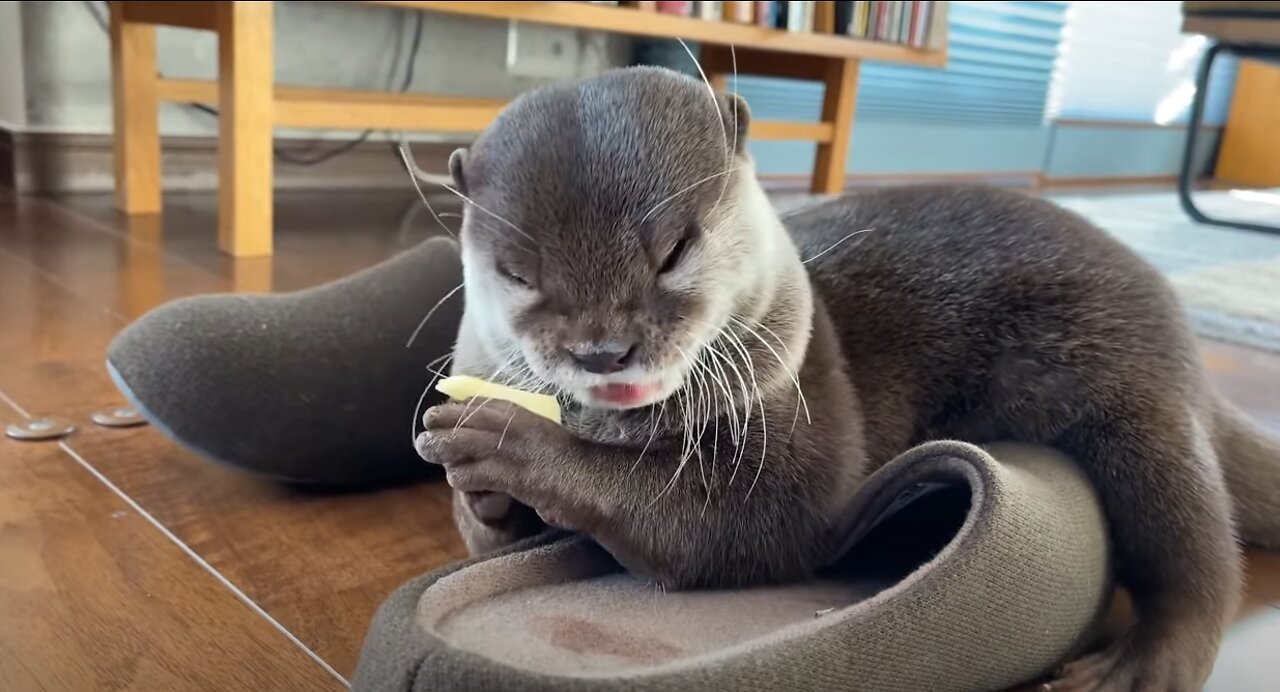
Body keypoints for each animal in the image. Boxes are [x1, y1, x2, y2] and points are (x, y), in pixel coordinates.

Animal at [414, 66, 1280, 690]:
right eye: (518, 274)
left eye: (675, 251)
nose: (603, 350)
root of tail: (1172, 317)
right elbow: (490, 535)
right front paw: (475, 486)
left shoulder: (807, 405)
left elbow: (753, 522)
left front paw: (507, 441)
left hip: (1132, 393)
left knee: (1201, 549)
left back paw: (1140, 662)